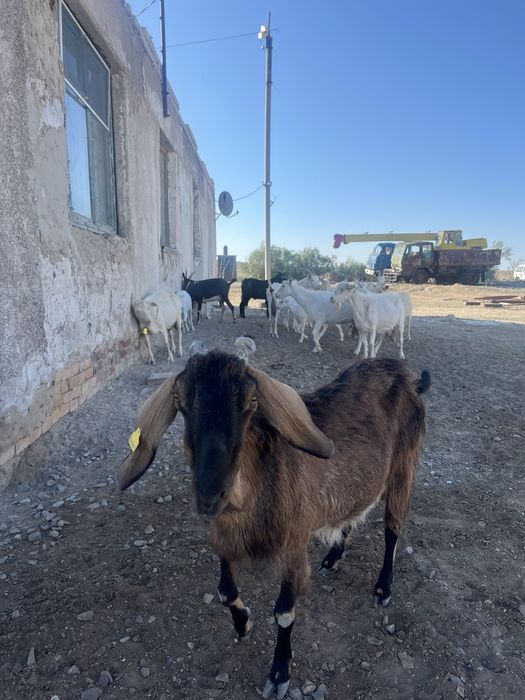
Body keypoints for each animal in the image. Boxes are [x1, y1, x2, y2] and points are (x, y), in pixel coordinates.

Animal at [117, 349, 430, 697]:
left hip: (404, 465)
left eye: (252, 402)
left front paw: (279, 673)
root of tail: (407, 376)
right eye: (180, 402)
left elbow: (283, 613)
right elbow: (225, 591)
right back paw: (332, 558)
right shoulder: (225, 538)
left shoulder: (294, 543)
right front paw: (243, 623)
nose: (210, 493)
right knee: (352, 512)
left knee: (392, 530)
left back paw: (383, 587)